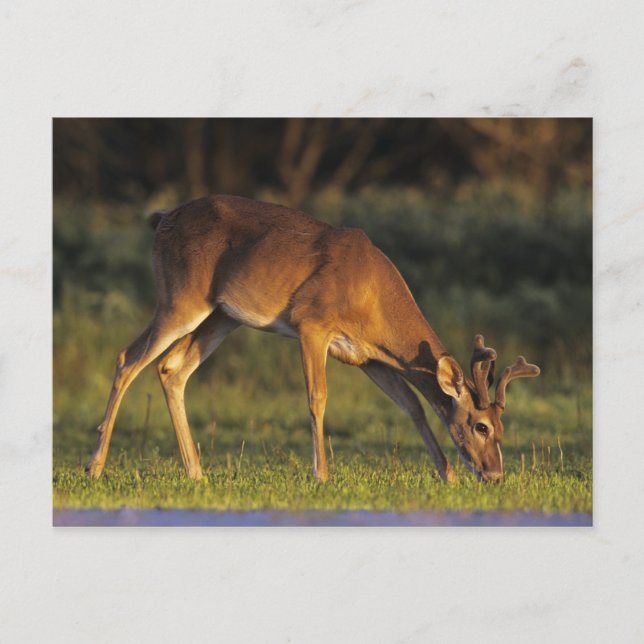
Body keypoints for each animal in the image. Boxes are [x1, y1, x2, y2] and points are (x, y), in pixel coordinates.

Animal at [86, 194, 540, 484]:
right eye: (481, 426)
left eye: (503, 427)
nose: (495, 475)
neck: (372, 296)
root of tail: (162, 219)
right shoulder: (312, 324)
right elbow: (317, 398)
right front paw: (322, 476)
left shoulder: (367, 357)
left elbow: (412, 406)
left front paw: (447, 475)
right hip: (181, 296)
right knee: (127, 359)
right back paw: (94, 466)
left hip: (222, 316)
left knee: (171, 369)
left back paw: (196, 473)